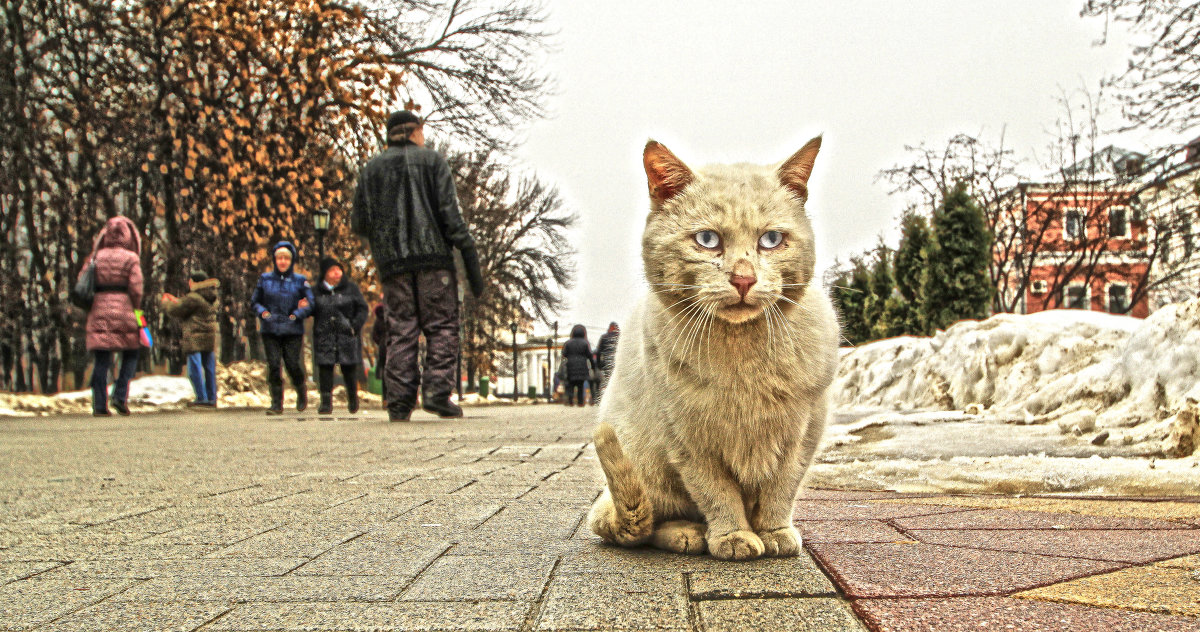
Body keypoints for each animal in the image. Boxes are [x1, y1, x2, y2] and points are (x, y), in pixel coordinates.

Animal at [588, 136, 835, 561]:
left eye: (771, 240)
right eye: (708, 240)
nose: (744, 278)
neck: (744, 359)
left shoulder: (804, 431)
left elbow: (781, 488)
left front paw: (774, 531)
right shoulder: (687, 439)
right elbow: (716, 493)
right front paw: (732, 536)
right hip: (646, 462)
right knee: (644, 523)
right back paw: (688, 534)